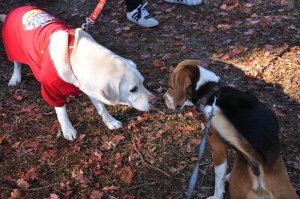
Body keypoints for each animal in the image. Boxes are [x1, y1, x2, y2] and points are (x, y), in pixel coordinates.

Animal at [1, 6, 157, 140]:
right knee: (16, 64)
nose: (155, 101)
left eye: (143, 83)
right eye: (133, 89)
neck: (75, 56)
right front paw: (68, 130)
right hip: (13, 49)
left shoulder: (91, 88)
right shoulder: (52, 92)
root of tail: (16, 9)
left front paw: (110, 121)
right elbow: (62, 113)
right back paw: (15, 77)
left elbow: (101, 108)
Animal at [164, 60, 298, 199]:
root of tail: (262, 162)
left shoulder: (218, 149)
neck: (211, 91)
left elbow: (219, 178)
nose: (163, 99)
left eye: (171, 87)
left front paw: (216, 195)